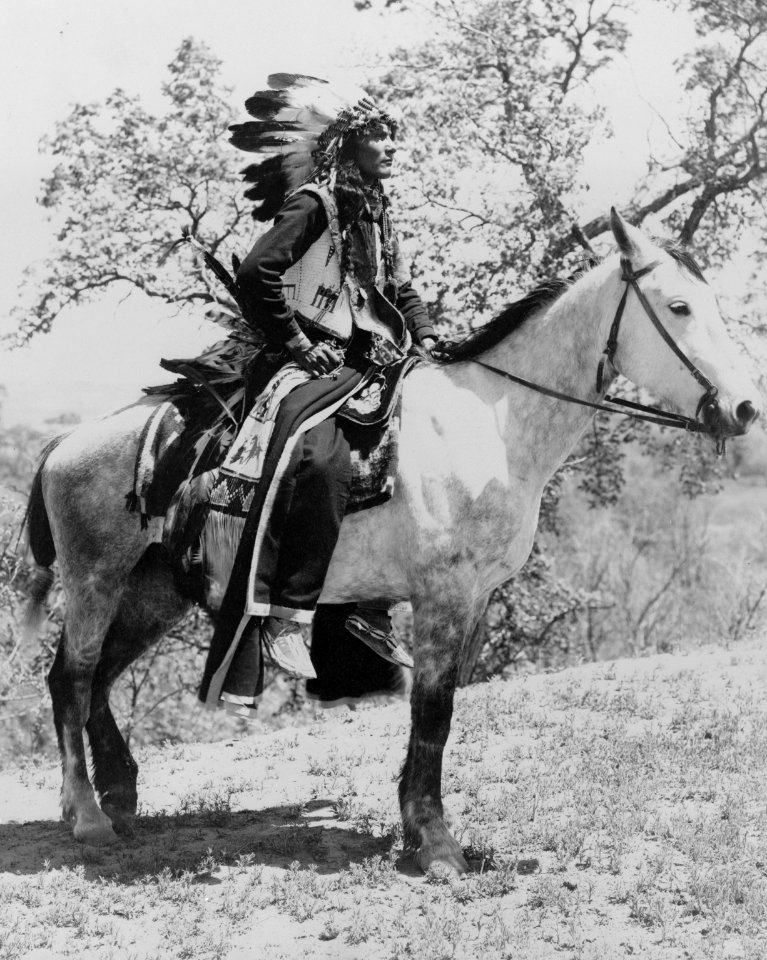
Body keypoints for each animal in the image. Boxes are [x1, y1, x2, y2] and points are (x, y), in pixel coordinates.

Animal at [21, 214, 760, 872]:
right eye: (678, 306)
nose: (745, 407)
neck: (491, 423)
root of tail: (65, 441)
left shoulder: (474, 598)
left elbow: (438, 709)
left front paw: (414, 826)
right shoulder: (442, 595)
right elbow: (432, 711)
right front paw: (436, 845)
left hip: (153, 589)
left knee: (99, 678)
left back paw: (120, 793)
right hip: (94, 579)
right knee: (72, 677)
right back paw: (85, 814)